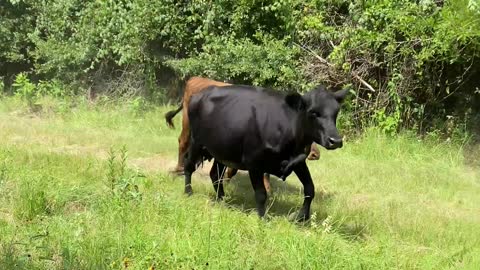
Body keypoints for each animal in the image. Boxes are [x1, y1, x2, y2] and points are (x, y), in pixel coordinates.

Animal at [185, 84, 348, 221]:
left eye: (336, 112)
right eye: (313, 112)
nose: (336, 140)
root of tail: (200, 93)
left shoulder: (298, 161)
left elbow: (310, 189)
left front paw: (301, 217)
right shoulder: (254, 163)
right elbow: (261, 194)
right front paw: (263, 218)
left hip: (223, 150)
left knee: (215, 175)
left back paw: (222, 199)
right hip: (196, 142)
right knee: (189, 166)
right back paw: (188, 192)